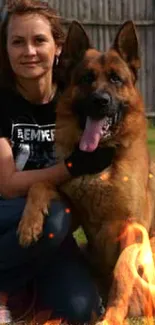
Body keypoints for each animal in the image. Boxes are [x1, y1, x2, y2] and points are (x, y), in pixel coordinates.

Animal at [17, 21, 155, 322]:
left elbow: (123, 273)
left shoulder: (133, 228)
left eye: (116, 79)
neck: (102, 162)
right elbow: (40, 185)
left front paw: (112, 318)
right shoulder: (74, 212)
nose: (99, 101)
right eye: (86, 78)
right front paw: (29, 223)